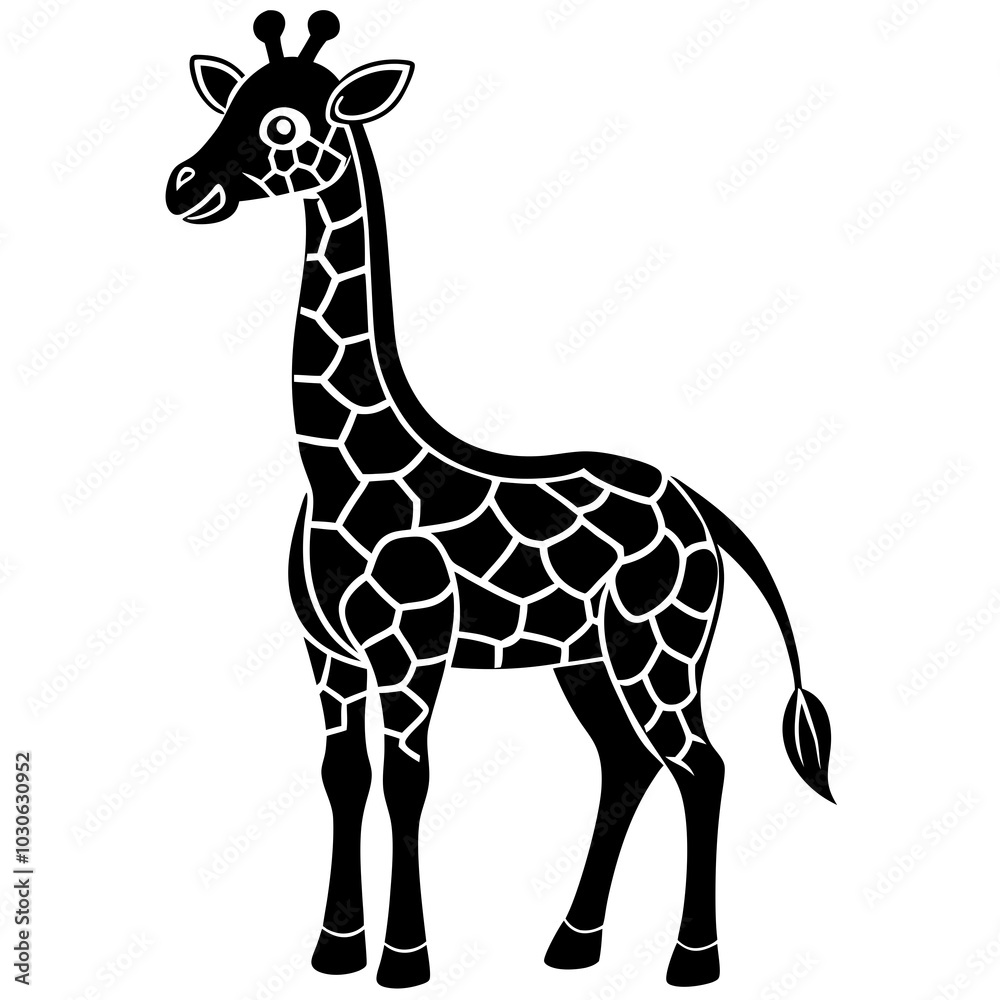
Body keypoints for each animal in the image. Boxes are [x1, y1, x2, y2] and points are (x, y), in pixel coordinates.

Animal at [166, 11, 835, 989]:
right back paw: (573, 944)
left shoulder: (411, 652)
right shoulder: (328, 655)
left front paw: (404, 960)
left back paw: (691, 962)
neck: (337, 465)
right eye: (230, 104)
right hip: (587, 661)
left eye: (284, 123)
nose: (186, 186)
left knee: (702, 767)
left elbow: (408, 783)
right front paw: (335, 949)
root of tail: (704, 514)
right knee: (626, 766)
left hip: (657, 652)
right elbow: (342, 778)